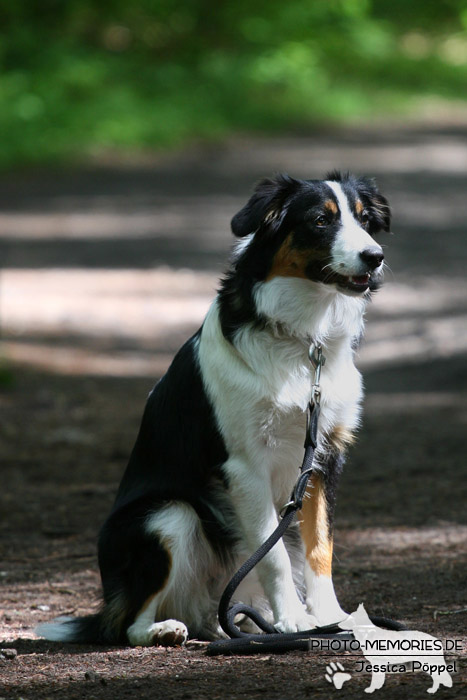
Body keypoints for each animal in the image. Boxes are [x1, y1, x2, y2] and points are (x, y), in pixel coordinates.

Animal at [36, 170, 392, 644]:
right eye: (320, 220)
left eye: (365, 220)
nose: (375, 257)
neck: (304, 341)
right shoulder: (245, 465)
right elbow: (273, 554)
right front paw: (294, 621)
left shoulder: (324, 457)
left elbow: (320, 546)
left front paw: (332, 616)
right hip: (167, 515)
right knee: (128, 623)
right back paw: (163, 630)